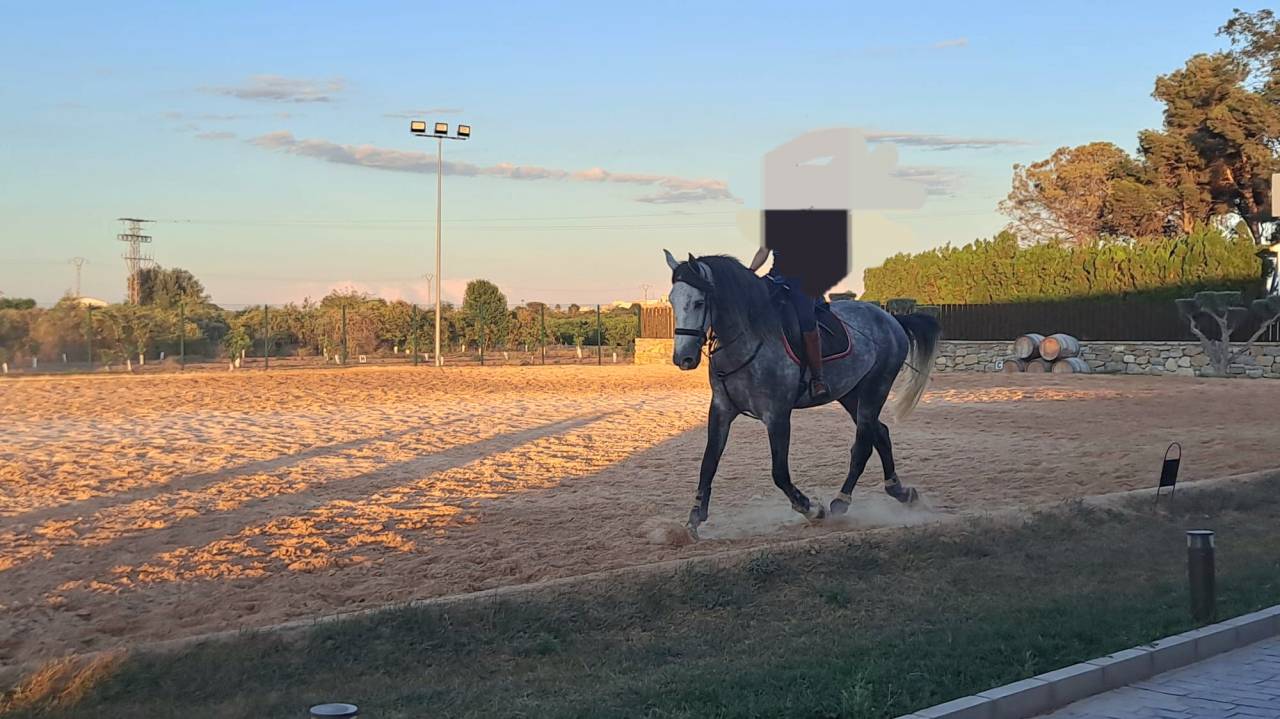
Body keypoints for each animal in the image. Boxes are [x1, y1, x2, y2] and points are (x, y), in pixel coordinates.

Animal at [663, 250, 942, 537]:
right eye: (673, 300)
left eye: (698, 303)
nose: (683, 358)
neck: (747, 338)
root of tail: (891, 319)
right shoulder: (721, 409)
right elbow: (708, 464)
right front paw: (694, 518)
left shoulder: (777, 415)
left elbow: (779, 472)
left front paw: (811, 508)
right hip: (851, 394)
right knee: (881, 434)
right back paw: (900, 491)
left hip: (875, 388)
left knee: (863, 443)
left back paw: (841, 501)